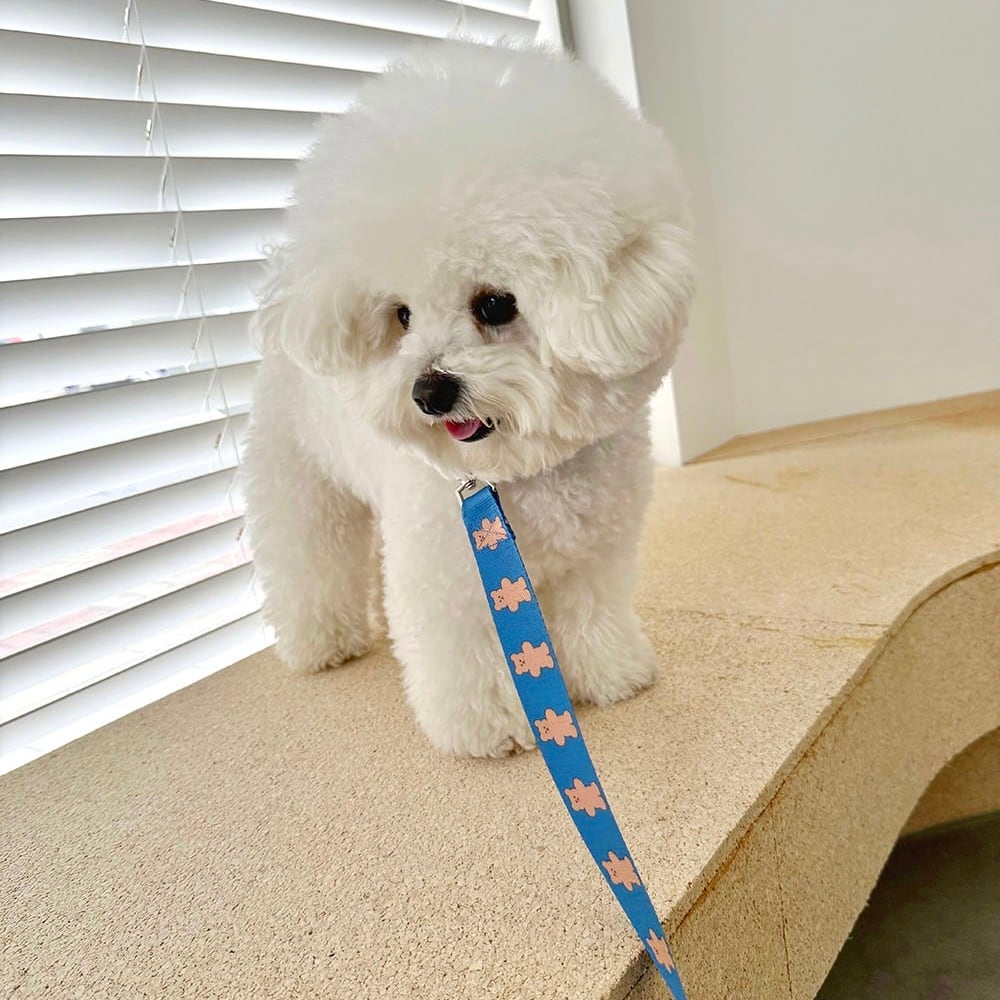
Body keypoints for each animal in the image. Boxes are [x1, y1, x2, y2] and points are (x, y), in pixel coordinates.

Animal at [244, 40, 695, 757]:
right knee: (308, 556)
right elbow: (461, 654)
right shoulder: (449, 576)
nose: (429, 393)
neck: (516, 477)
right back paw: (322, 643)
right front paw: (489, 727)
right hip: (302, 486)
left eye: (495, 304)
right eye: (401, 316)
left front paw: (610, 676)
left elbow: (592, 614)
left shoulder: (595, 554)